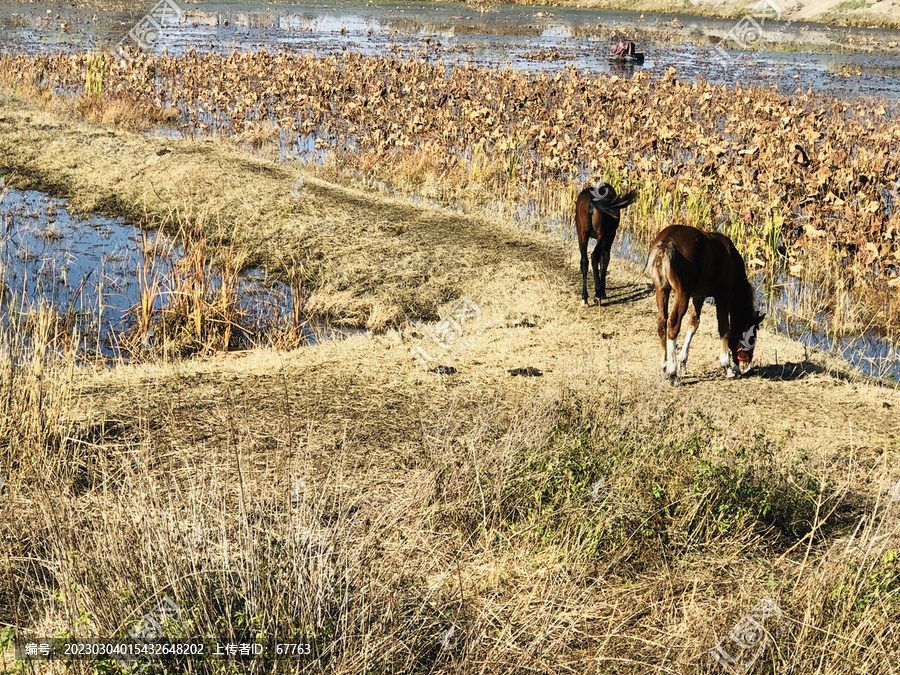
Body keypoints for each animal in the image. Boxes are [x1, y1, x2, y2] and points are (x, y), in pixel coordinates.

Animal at [648, 224, 768, 378]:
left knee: (662, 321)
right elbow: (724, 328)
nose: (746, 368)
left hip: (661, 289)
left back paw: (664, 364)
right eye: (752, 339)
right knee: (673, 323)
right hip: (682, 293)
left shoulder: (699, 297)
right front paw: (727, 366)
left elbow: (693, 324)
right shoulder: (723, 297)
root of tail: (666, 242)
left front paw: (683, 363)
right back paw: (671, 370)